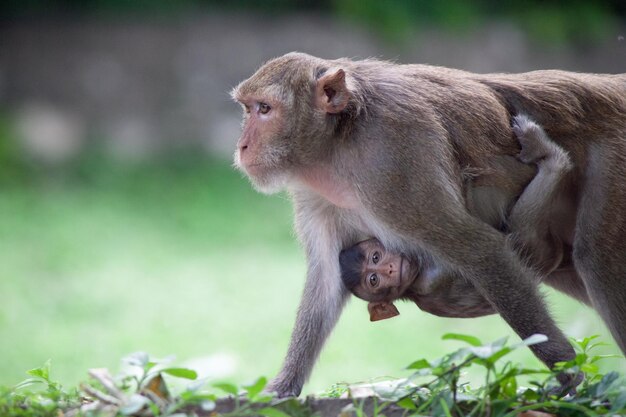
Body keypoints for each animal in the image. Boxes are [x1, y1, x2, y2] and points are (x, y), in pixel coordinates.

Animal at [230, 52, 624, 396]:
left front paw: (571, 380)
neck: (338, 145)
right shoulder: (316, 197)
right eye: (248, 108)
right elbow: (326, 284)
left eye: (264, 109)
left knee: (595, 261)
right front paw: (280, 389)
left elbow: (480, 251)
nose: (243, 146)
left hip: (613, 159)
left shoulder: (395, 163)